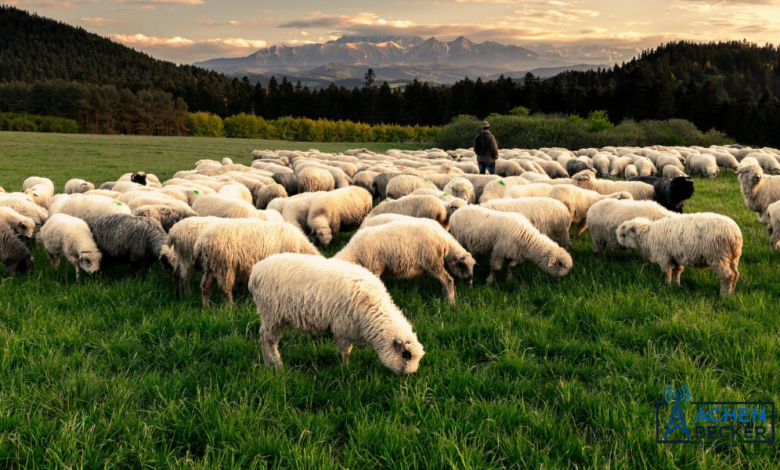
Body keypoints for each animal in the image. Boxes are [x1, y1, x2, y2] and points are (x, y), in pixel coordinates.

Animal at [248, 253, 424, 374]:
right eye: (406, 355)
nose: (410, 375)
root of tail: (255, 272)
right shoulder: (342, 328)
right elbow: (347, 351)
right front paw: (345, 369)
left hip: (269, 316)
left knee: (262, 335)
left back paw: (267, 363)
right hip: (272, 314)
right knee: (269, 341)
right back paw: (278, 365)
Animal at [335, 221, 475, 305]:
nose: (470, 282)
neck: (356, 251)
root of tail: (443, 237)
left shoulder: (375, 268)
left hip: (433, 261)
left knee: (448, 281)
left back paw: (451, 303)